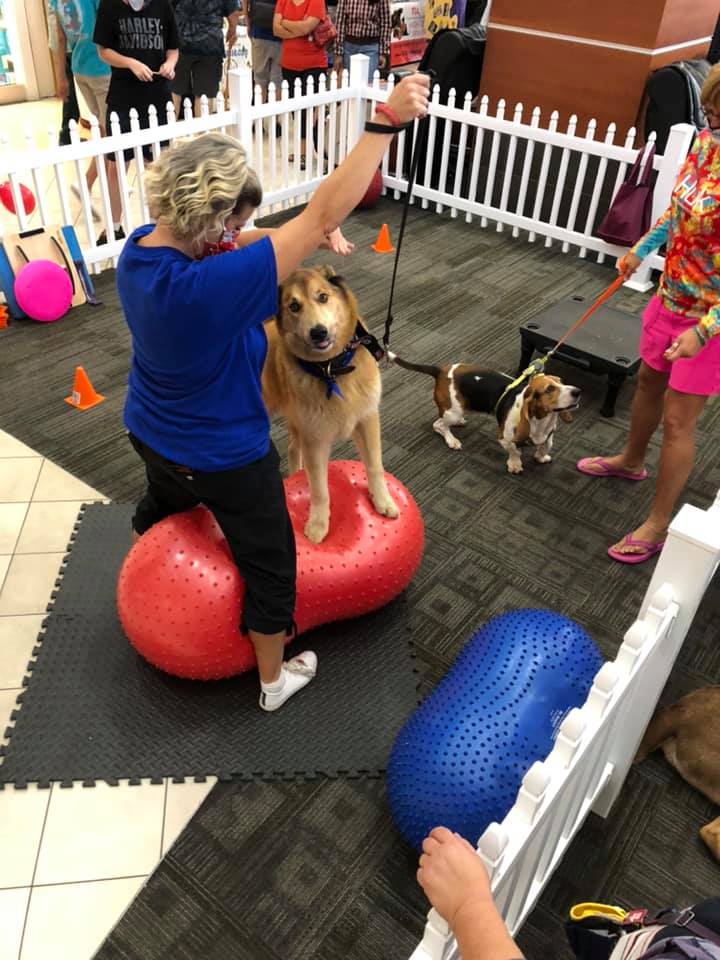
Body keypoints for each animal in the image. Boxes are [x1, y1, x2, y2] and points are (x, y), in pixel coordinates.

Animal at [262, 265, 399, 544]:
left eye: (323, 297)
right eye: (294, 306)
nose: (318, 332)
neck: (331, 369)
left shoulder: (367, 420)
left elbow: (375, 466)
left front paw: (382, 500)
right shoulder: (315, 439)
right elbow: (319, 489)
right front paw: (318, 524)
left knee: (292, 449)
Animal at [388, 354, 581, 473]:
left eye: (562, 381)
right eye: (549, 389)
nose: (577, 391)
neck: (541, 420)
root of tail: (441, 371)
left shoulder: (548, 436)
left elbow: (545, 446)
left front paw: (541, 457)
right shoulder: (504, 439)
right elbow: (515, 452)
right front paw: (515, 464)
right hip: (453, 412)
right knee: (439, 425)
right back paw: (452, 440)